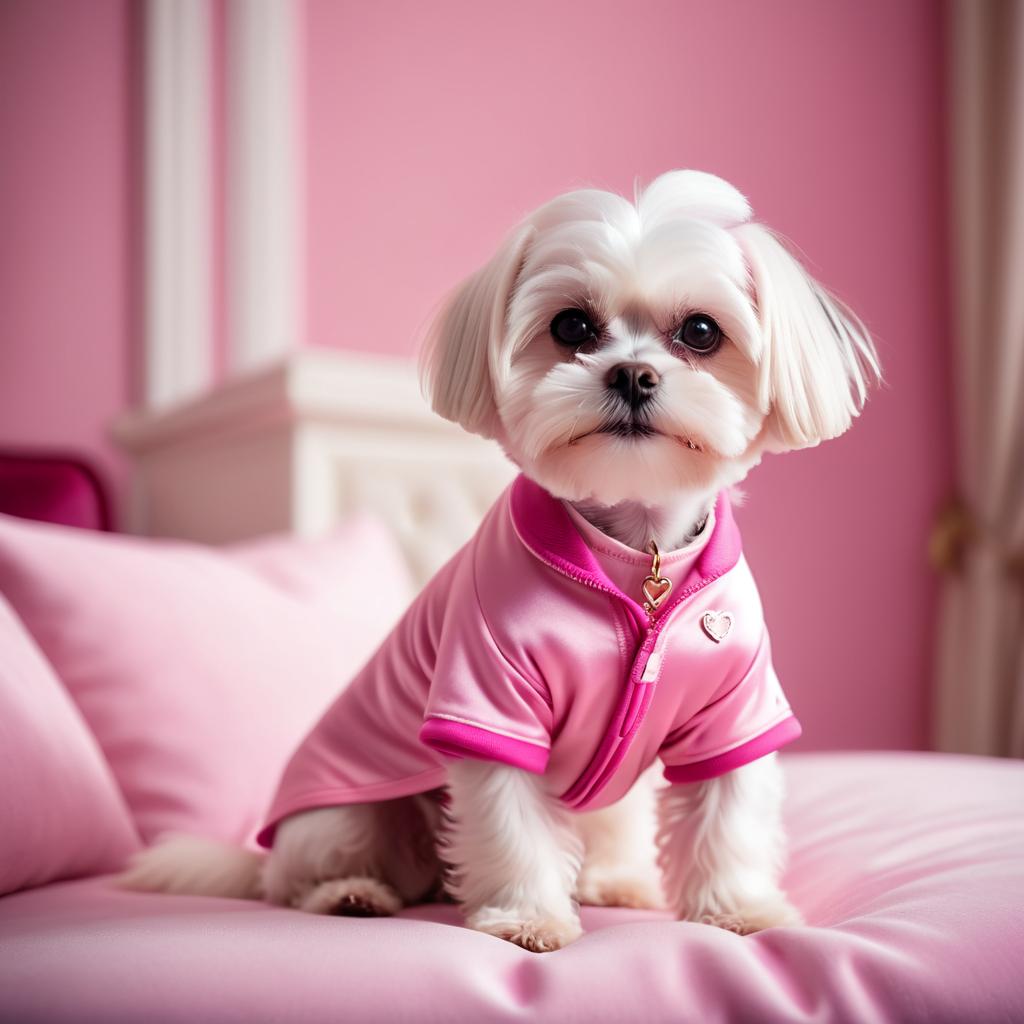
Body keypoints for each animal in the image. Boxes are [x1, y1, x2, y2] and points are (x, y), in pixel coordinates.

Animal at [117, 169, 872, 950]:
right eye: (571, 327)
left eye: (700, 331)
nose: (633, 375)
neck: (636, 556)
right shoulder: (486, 699)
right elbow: (514, 824)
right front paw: (528, 917)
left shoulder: (736, 712)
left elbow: (729, 815)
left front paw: (738, 908)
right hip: (344, 814)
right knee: (296, 878)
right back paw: (349, 895)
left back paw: (613, 881)